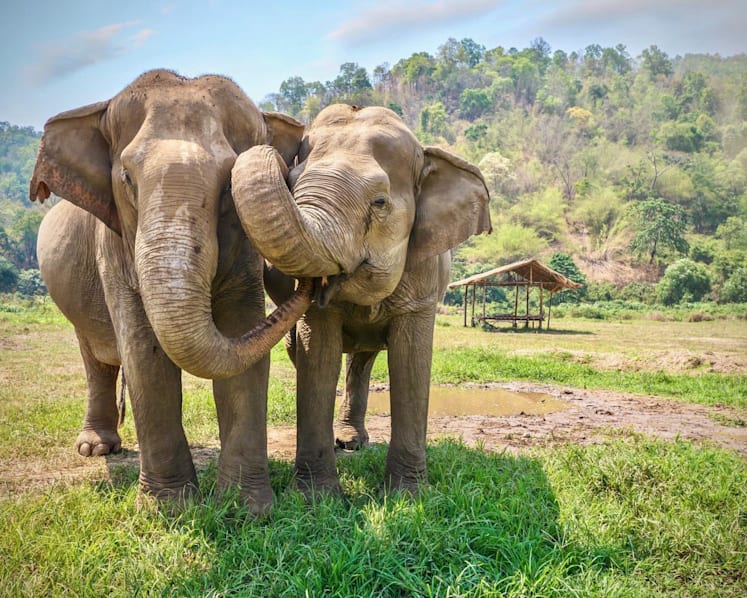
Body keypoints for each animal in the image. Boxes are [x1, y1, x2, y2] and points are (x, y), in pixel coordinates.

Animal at [31, 70, 313, 513]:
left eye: (229, 185)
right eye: (127, 178)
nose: (311, 283)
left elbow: (242, 338)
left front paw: (246, 509)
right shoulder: (114, 244)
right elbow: (144, 356)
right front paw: (169, 509)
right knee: (96, 358)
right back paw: (96, 449)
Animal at [231, 104, 491, 495]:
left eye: (380, 202)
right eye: (291, 184)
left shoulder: (424, 278)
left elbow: (412, 362)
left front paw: (408, 494)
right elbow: (318, 357)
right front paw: (316, 497)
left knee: (362, 361)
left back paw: (352, 442)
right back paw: (343, 443)